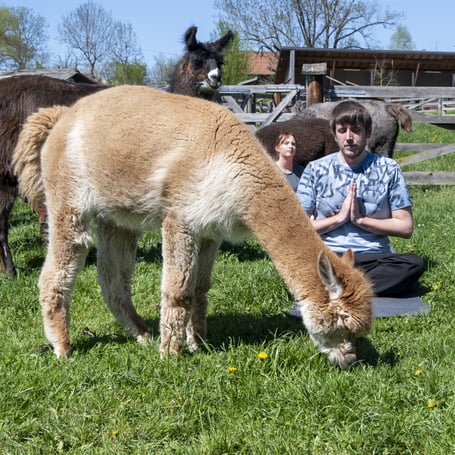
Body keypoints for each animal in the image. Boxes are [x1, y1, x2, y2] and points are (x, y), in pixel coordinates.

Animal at [13, 86, 373, 369]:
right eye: (342, 325)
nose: (350, 360)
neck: (228, 159)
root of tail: (63, 117)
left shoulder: (210, 227)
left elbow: (200, 288)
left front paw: (197, 343)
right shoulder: (180, 215)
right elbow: (178, 290)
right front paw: (170, 354)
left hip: (116, 217)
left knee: (112, 280)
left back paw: (142, 334)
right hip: (69, 200)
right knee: (57, 272)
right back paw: (63, 348)